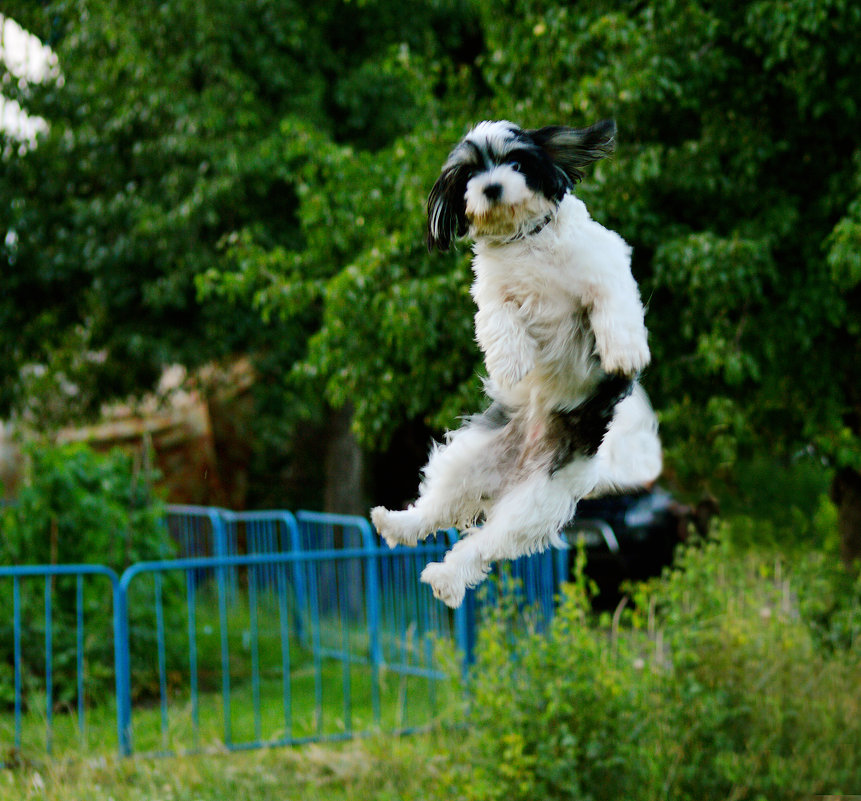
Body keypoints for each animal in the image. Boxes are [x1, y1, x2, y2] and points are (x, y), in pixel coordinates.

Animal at [370, 119, 660, 608]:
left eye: (516, 163)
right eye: (470, 173)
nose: (490, 187)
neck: (527, 240)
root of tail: (519, 466)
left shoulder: (603, 269)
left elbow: (612, 307)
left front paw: (624, 352)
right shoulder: (492, 294)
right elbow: (499, 318)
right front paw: (510, 363)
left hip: (531, 505)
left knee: (482, 545)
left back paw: (444, 578)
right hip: (468, 460)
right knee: (437, 510)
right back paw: (396, 525)